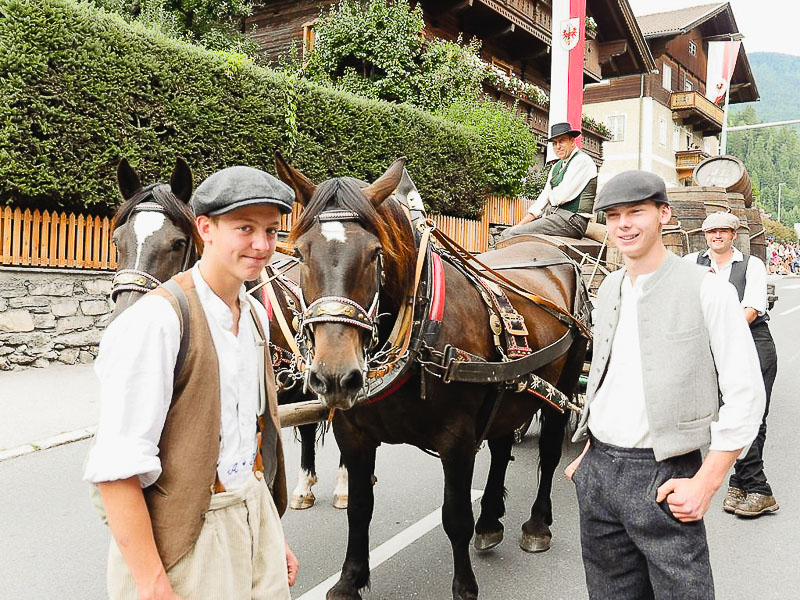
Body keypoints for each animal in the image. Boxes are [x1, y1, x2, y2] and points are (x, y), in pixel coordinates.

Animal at [278, 157, 592, 596]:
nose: (336, 376)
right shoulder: (353, 434)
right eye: (300, 253)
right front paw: (350, 579)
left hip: (562, 386)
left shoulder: (456, 438)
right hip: (509, 388)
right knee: (501, 446)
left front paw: (465, 587)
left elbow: (455, 516)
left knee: (548, 452)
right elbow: (359, 509)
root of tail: (555, 252)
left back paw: (537, 524)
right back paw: (490, 519)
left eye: (375, 253)